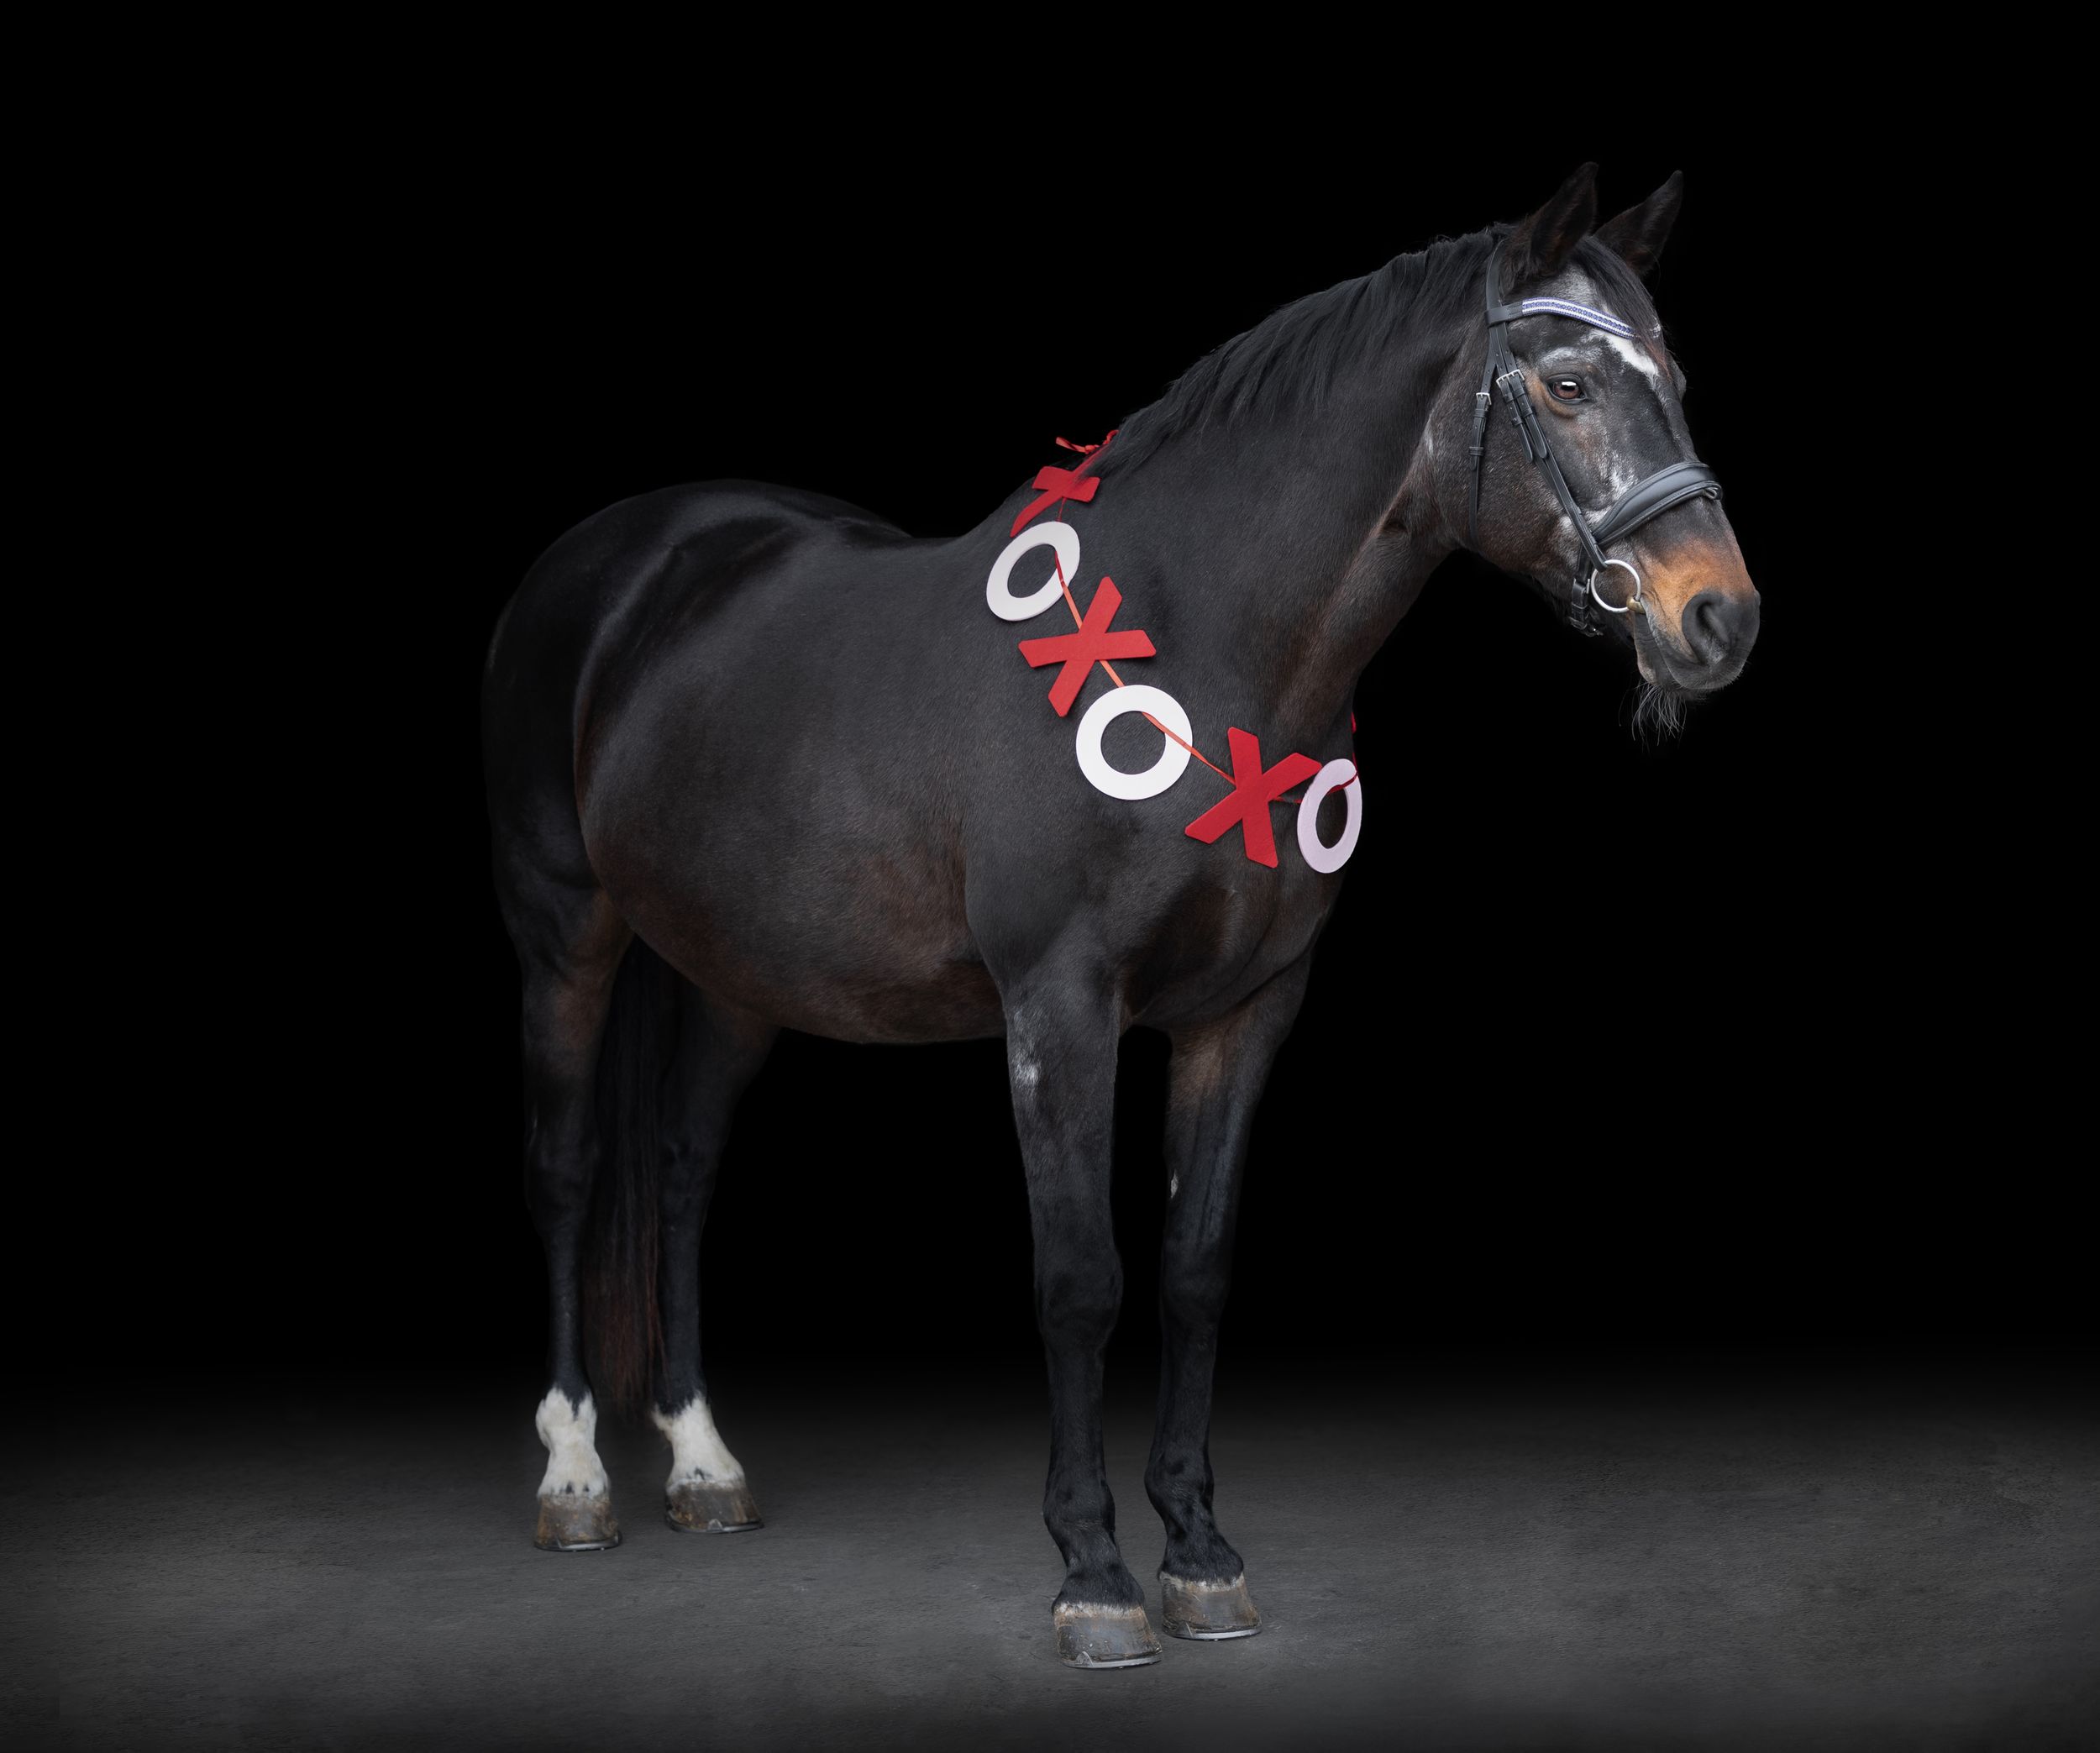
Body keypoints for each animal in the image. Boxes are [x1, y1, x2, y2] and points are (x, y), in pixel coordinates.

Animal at [480, 162, 1759, 1669]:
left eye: (1676, 378)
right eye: (1565, 384)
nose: (1717, 615)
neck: (1204, 649)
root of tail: (621, 557)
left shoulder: (1245, 1015)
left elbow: (1196, 1268)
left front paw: (1200, 1552)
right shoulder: (1061, 1010)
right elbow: (1081, 1277)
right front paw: (1093, 1573)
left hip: (736, 974)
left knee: (679, 1173)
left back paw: (701, 1463)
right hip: (566, 936)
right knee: (570, 1171)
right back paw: (575, 1477)